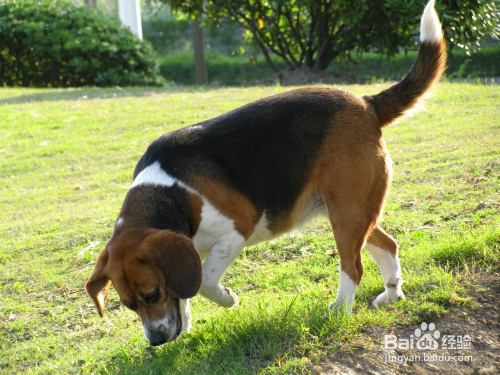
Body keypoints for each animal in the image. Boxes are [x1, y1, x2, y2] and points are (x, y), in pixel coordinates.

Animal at [85, 0, 446, 348]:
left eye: (152, 295)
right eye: (129, 304)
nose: (156, 341)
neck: (173, 193)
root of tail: (366, 103)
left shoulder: (234, 233)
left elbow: (205, 282)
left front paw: (227, 299)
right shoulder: (186, 254)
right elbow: (185, 295)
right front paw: (184, 328)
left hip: (346, 213)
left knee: (353, 267)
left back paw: (340, 309)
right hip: (353, 212)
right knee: (387, 244)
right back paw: (391, 293)